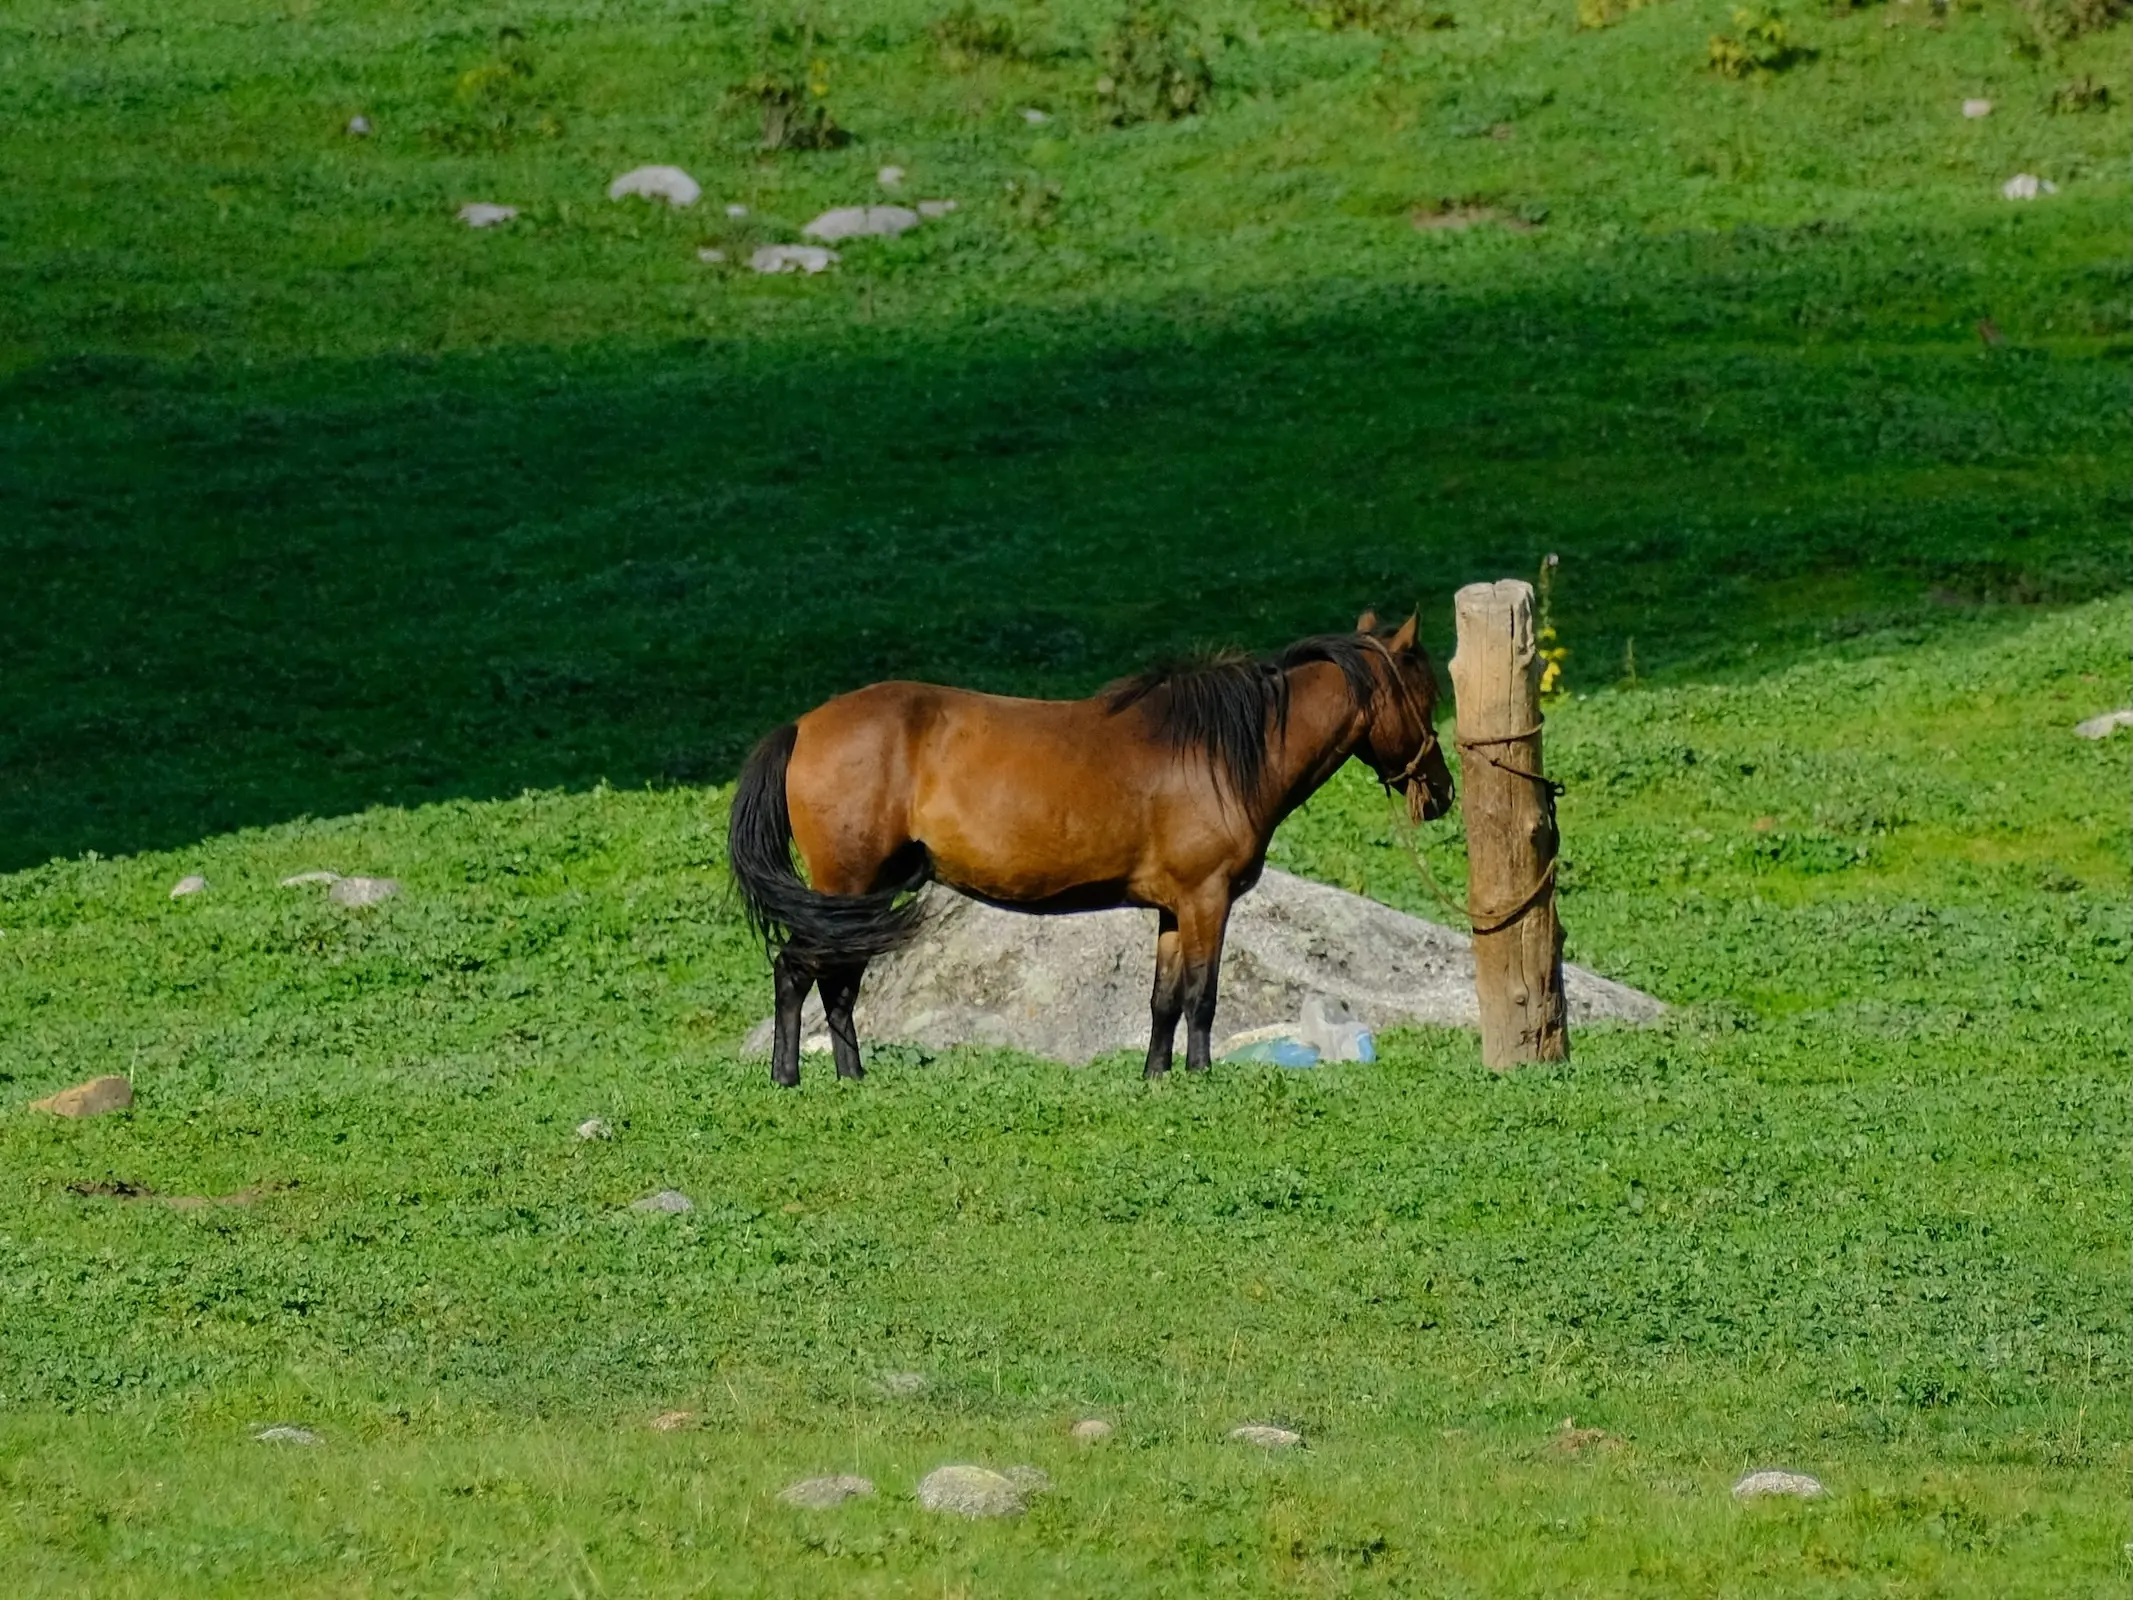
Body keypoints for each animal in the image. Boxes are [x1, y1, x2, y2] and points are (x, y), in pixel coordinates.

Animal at [728, 611, 1455, 1086]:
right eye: (1426, 694)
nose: (1442, 793)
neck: (1224, 753)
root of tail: (802, 726)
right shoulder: (1207, 899)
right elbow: (1203, 995)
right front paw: (1200, 1075)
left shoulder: (1173, 909)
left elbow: (1164, 999)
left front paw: (1156, 1077)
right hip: (845, 887)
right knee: (798, 971)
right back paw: (787, 1076)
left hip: (865, 897)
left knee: (837, 983)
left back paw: (851, 1076)